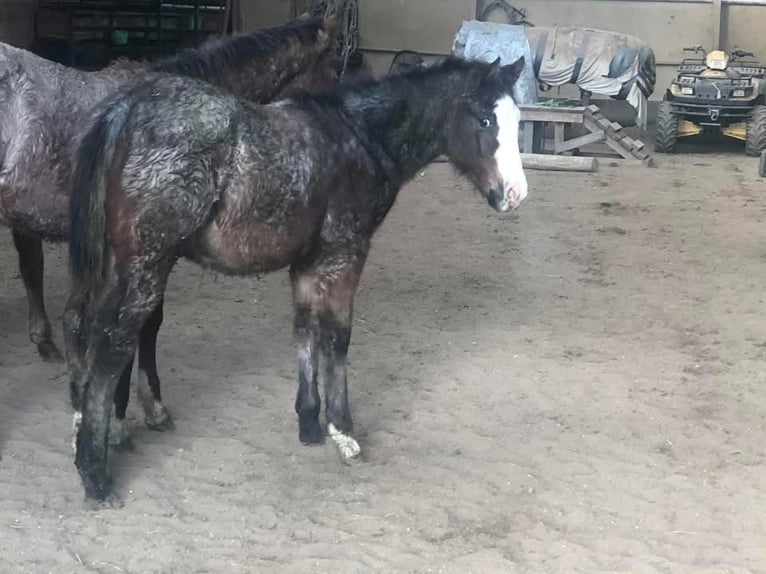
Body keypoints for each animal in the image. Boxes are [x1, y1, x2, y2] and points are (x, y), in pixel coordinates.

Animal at [65, 54, 529, 504]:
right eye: (485, 120)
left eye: (517, 119)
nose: (515, 194)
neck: (361, 138)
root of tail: (126, 110)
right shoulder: (345, 254)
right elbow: (337, 337)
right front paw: (343, 432)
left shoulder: (307, 263)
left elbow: (305, 329)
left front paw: (308, 422)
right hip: (148, 264)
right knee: (112, 346)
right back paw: (95, 477)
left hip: (120, 267)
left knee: (93, 333)